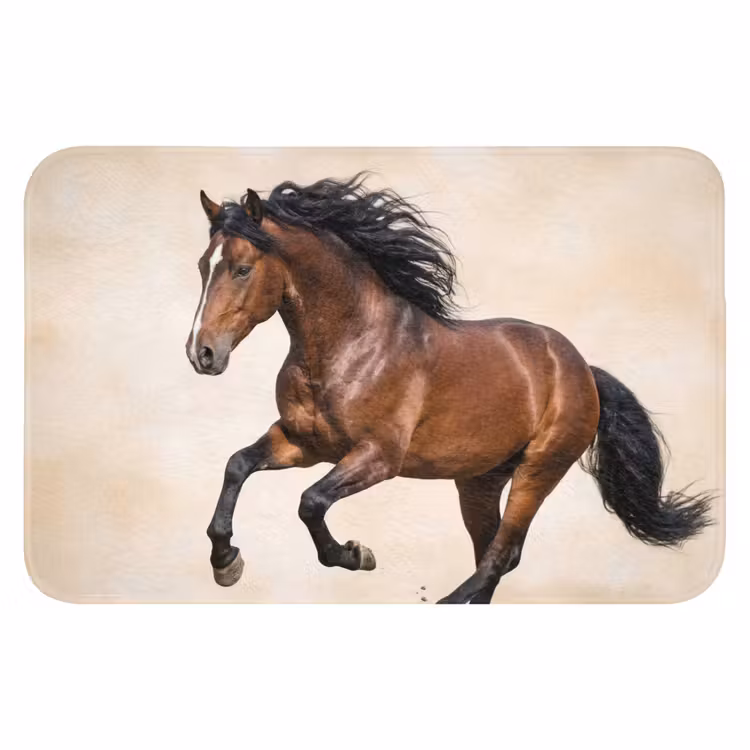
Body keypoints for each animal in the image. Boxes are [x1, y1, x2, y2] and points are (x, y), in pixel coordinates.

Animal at [186, 174, 713, 603]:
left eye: (242, 268)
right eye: (202, 266)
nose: (201, 353)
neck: (350, 344)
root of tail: (582, 368)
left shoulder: (378, 457)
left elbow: (310, 502)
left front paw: (356, 555)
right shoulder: (303, 443)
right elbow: (237, 465)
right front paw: (226, 562)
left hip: (540, 468)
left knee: (501, 554)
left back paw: (447, 600)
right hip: (479, 480)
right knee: (495, 553)